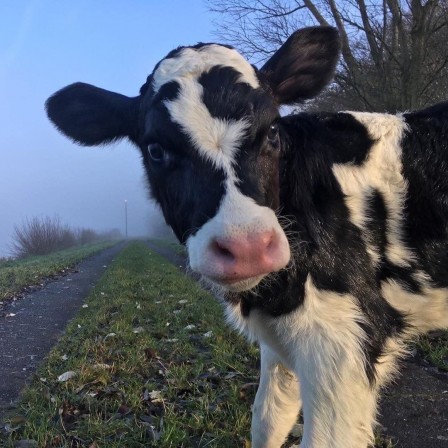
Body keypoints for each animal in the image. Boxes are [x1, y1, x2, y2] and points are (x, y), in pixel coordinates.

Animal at [45, 28, 448, 448]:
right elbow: (267, 418)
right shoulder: (283, 343)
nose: (247, 247)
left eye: (271, 131)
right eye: (155, 149)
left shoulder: (342, 345)